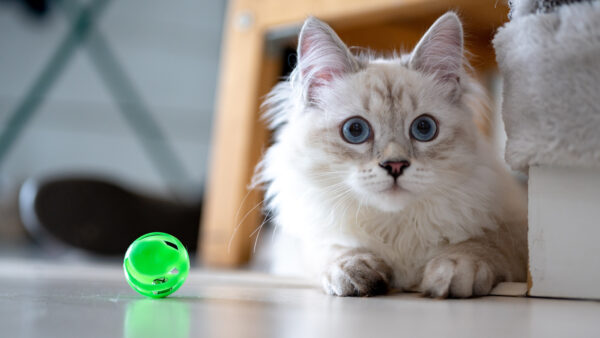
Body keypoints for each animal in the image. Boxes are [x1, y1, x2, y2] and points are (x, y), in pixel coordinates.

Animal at [255, 12, 528, 298]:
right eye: (355, 130)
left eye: (424, 128)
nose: (395, 165)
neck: (395, 228)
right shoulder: (304, 243)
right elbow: (334, 250)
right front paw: (355, 272)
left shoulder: (516, 228)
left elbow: (484, 243)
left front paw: (455, 269)